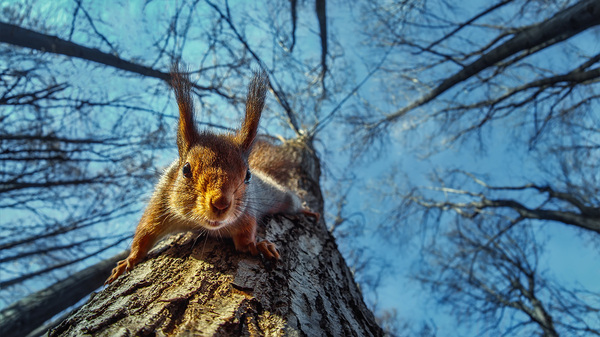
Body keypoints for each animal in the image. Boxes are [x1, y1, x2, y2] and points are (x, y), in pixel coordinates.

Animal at [104, 67, 318, 282]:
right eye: (186, 169)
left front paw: (257, 245)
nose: (221, 203)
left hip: (280, 195)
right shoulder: (162, 202)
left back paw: (306, 210)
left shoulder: (245, 214)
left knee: (292, 202)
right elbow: (145, 232)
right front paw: (129, 260)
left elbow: (246, 237)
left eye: (247, 176)